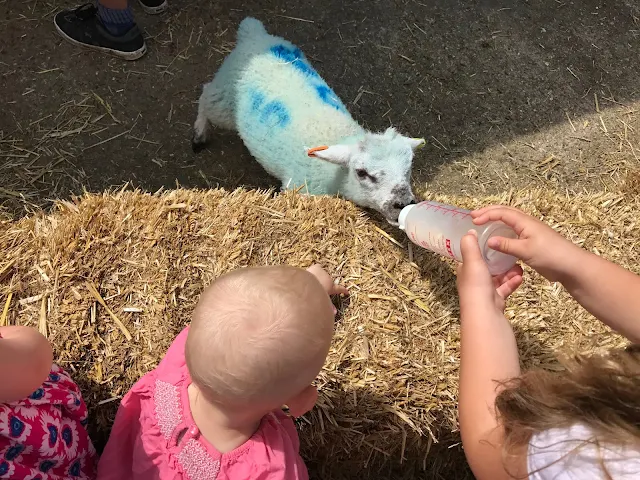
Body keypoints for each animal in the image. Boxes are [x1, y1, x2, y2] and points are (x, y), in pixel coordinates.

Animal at [192, 16, 428, 223]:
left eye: (408, 168)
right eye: (362, 173)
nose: (402, 204)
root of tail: (254, 34)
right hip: (224, 100)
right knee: (205, 94)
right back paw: (199, 134)